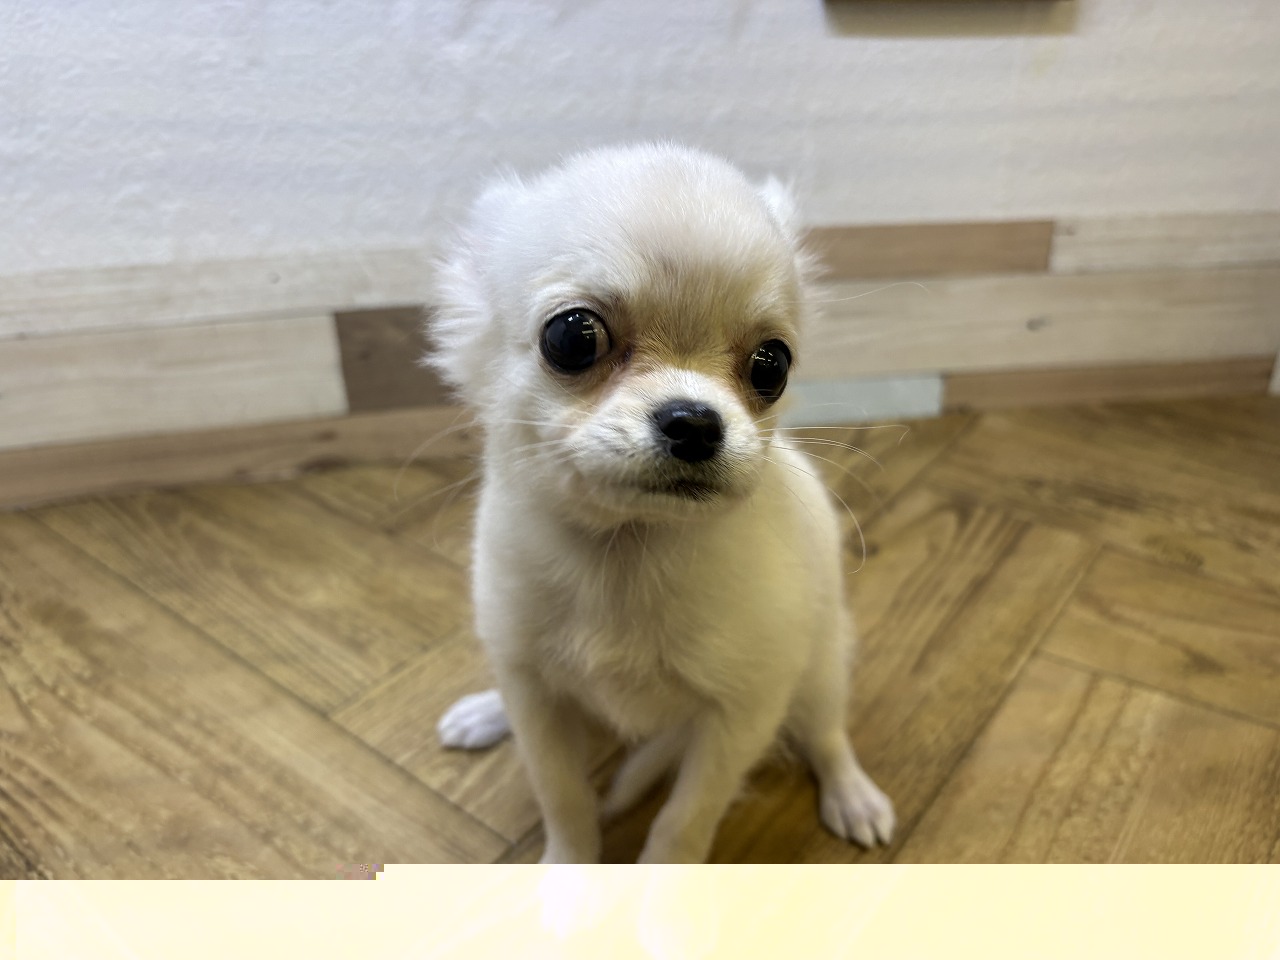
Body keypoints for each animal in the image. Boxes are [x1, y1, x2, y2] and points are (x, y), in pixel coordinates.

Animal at [426, 143, 894, 863]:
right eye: (572, 337)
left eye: (771, 365)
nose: (695, 422)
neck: (630, 548)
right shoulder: (536, 698)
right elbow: (562, 795)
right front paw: (567, 873)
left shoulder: (742, 714)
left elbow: (684, 819)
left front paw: (658, 886)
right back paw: (485, 711)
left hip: (818, 670)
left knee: (826, 733)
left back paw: (852, 794)